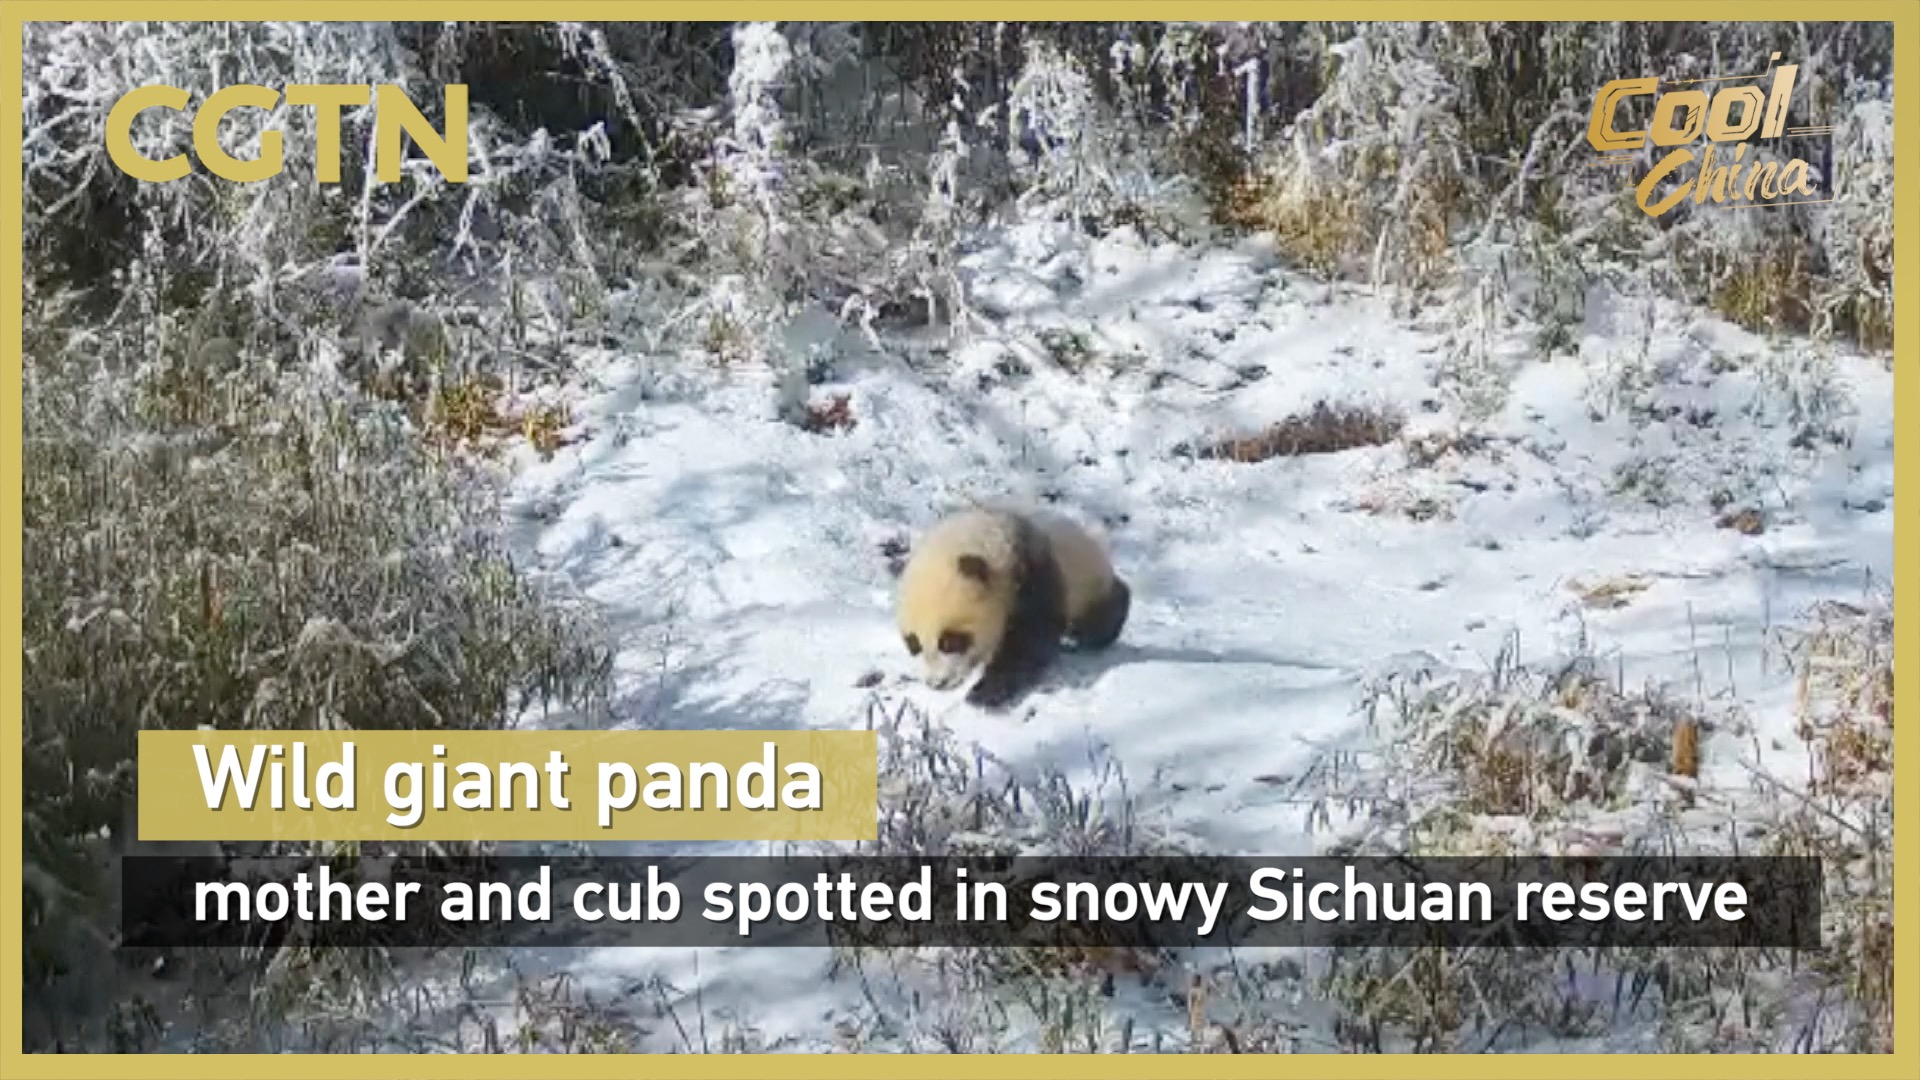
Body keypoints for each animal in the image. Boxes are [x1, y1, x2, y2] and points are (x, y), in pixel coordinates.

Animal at [895, 501, 1131, 709]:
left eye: (950, 641)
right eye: (915, 645)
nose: (937, 683)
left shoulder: (1032, 577)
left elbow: (1028, 642)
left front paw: (985, 694)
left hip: (1088, 579)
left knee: (1104, 611)